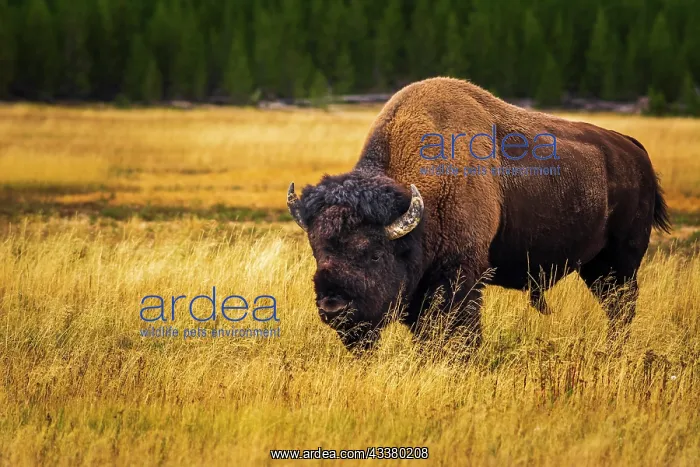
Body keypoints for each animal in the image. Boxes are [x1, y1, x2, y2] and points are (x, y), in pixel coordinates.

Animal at [287, 77, 670, 352]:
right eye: (318, 251)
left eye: (375, 253)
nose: (333, 307)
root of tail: (633, 149)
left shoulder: (462, 274)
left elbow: (458, 328)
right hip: (595, 267)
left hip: (620, 261)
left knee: (621, 306)